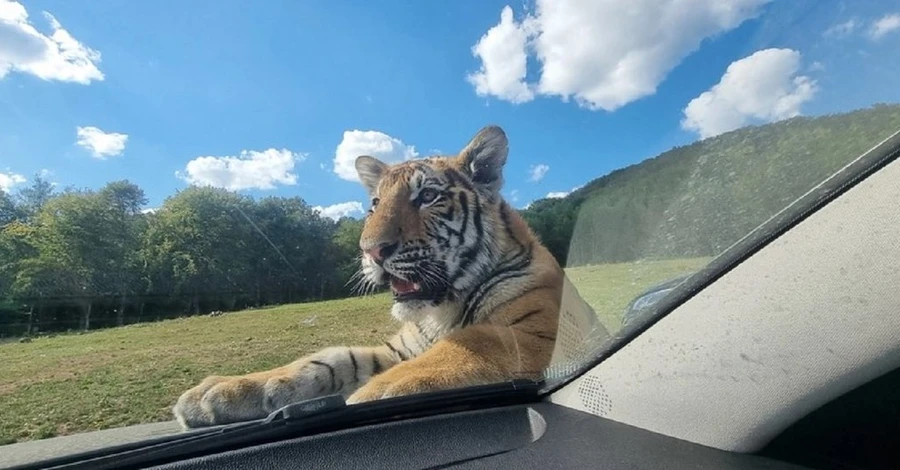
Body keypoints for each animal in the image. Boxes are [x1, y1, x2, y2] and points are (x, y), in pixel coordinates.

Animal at [172, 125, 600, 430]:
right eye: (375, 204)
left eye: (427, 197)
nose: (371, 249)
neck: (441, 309)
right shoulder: (398, 348)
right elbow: (330, 359)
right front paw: (221, 391)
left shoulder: (534, 332)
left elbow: (462, 346)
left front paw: (367, 398)